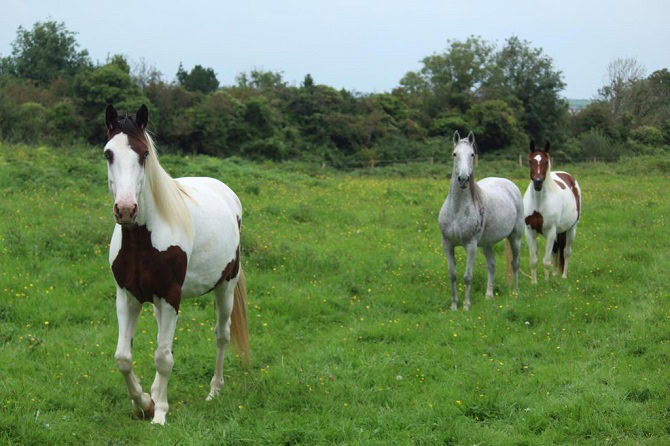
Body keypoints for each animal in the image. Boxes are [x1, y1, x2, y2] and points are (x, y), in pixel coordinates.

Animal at [103, 104, 251, 426]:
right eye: (108, 154)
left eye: (144, 154)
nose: (126, 209)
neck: (143, 240)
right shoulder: (127, 296)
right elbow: (123, 357)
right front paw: (143, 403)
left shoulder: (171, 296)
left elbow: (162, 357)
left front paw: (159, 413)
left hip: (225, 287)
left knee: (221, 335)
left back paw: (214, 390)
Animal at [438, 130, 528, 310]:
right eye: (455, 154)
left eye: (472, 154)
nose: (463, 179)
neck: (457, 209)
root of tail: (510, 185)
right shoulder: (448, 244)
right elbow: (452, 275)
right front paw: (454, 306)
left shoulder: (471, 245)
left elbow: (467, 276)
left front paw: (466, 306)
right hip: (487, 243)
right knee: (491, 265)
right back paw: (489, 295)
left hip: (515, 237)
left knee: (515, 263)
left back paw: (515, 293)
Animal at [524, 141, 584, 284]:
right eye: (530, 161)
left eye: (546, 161)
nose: (538, 183)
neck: (539, 202)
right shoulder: (529, 231)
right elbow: (533, 260)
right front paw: (534, 283)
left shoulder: (551, 231)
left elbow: (546, 261)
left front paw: (546, 283)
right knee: (556, 250)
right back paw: (556, 274)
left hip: (571, 229)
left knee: (566, 251)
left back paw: (563, 276)